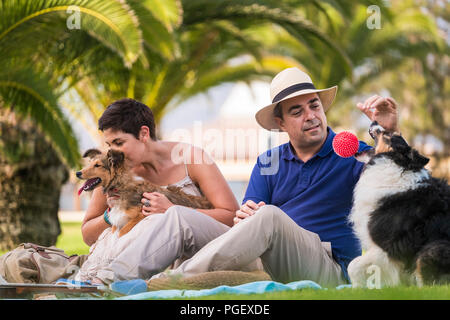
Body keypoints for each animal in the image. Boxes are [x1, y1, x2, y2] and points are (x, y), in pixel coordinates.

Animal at [76, 149, 213, 236]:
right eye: (89, 164)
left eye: (97, 165)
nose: (77, 173)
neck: (121, 187)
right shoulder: (117, 220)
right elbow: (115, 229)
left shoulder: (143, 214)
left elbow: (122, 232)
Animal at [350, 122, 448, 288]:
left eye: (389, 134)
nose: (374, 121)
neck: (393, 163)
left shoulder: (388, 246)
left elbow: (354, 265)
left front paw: (356, 288)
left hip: (433, 248)